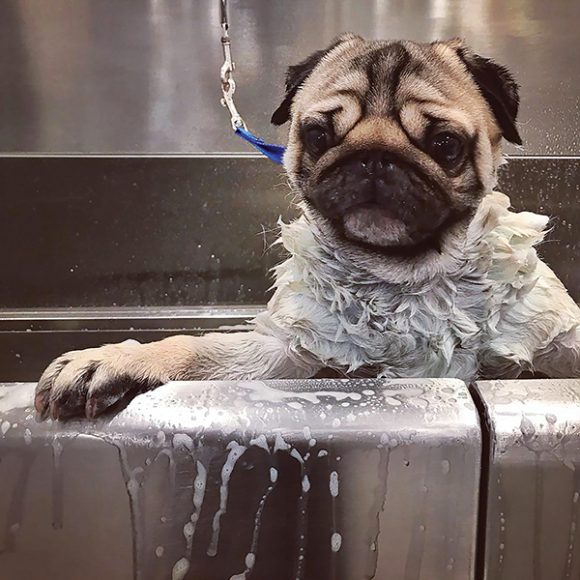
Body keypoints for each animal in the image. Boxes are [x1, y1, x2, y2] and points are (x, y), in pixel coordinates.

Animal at [36, 34, 580, 420]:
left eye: (445, 145)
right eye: (318, 135)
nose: (374, 159)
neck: (408, 277)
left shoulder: (555, 334)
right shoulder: (286, 349)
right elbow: (196, 349)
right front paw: (116, 359)